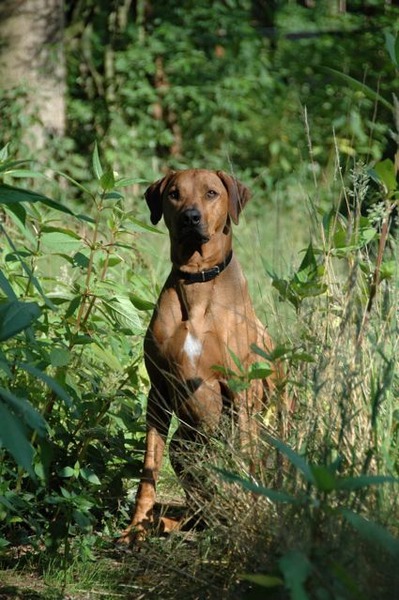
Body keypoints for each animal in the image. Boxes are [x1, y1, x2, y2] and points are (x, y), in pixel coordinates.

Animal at [122, 169, 278, 544]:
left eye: (211, 193)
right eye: (174, 194)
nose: (190, 218)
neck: (197, 281)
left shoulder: (239, 391)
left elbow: (243, 460)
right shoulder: (159, 392)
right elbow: (148, 469)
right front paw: (135, 528)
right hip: (183, 446)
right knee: (199, 509)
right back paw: (168, 524)